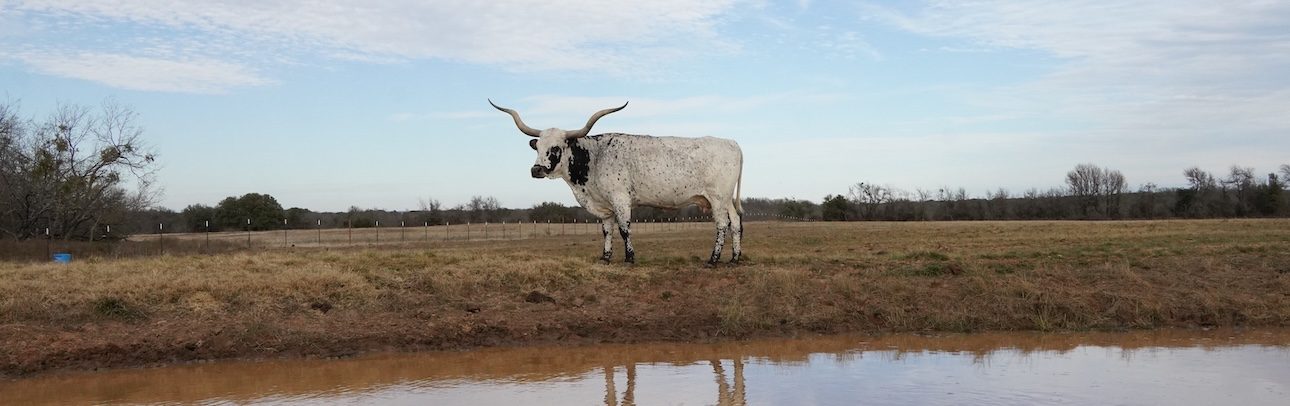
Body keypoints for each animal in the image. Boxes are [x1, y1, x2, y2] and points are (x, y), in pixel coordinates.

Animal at [492, 100, 748, 265]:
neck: (595, 157)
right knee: (736, 223)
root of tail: (732, 143)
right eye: (538, 147)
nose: (536, 169)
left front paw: (629, 258)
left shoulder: (620, 199)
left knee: (722, 225)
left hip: (717, 198)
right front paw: (605, 258)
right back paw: (734, 259)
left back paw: (713, 259)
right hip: (725, 200)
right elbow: (607, 230)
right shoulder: (604, 205)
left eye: (555, 148)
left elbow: (624, 229)